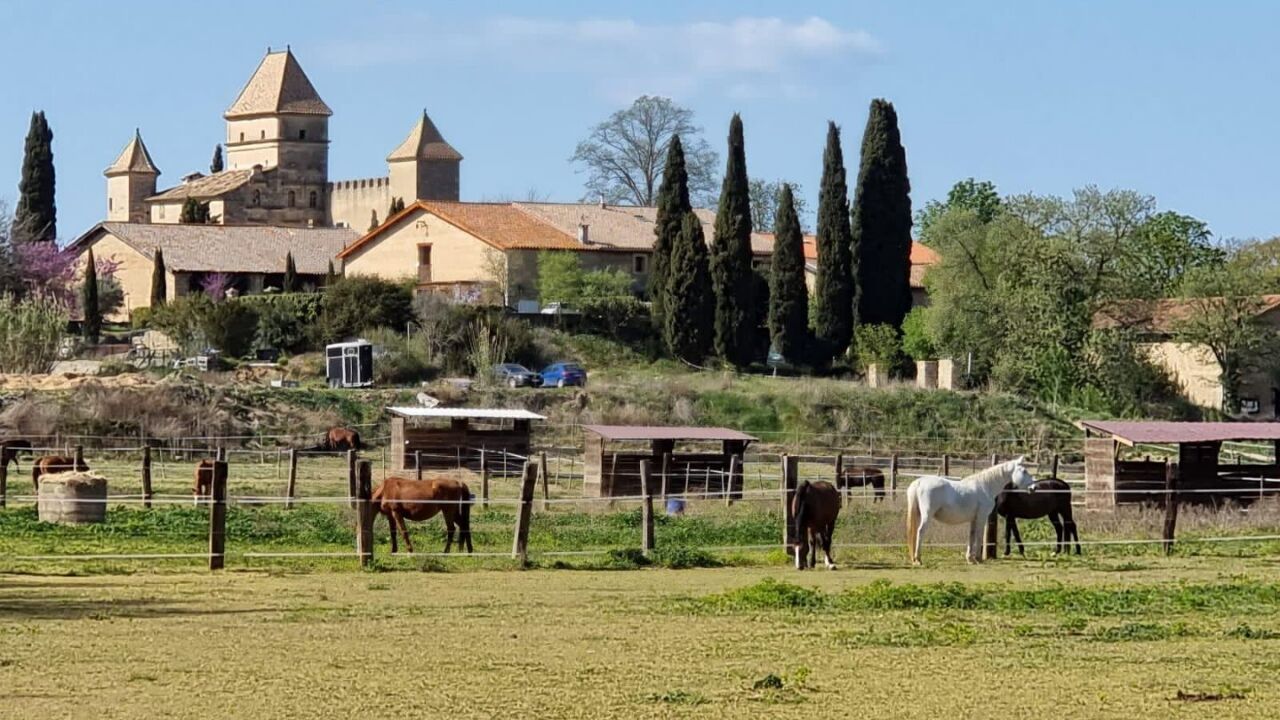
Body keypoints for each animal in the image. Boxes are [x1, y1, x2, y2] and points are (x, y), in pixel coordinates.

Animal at [906, 456, 1034, 563]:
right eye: (1024, 471)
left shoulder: (973, 519)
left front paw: (970, 559)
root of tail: (919, 482)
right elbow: (979, 536)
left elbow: (971, 536)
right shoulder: (982, 517)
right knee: (920, 532)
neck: (985, 486)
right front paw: (978, 558)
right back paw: (918, 559)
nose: (1033, 487)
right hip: (927, 515)